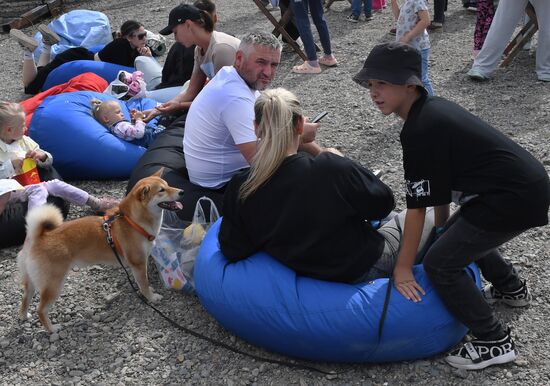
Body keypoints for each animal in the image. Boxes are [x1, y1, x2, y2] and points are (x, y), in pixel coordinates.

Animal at [17, 170, 184, 332]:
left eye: (168, 185)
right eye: (162, 190)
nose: (182, 191)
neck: (133, 221)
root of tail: (38, 237)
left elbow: (143, 282)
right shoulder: (138, 263)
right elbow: (143, 283)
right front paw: (151, 297)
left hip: (32, 281)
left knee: (25, 299)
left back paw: (24, 316)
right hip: (53, 284)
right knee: (41, 309)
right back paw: (52, 329)